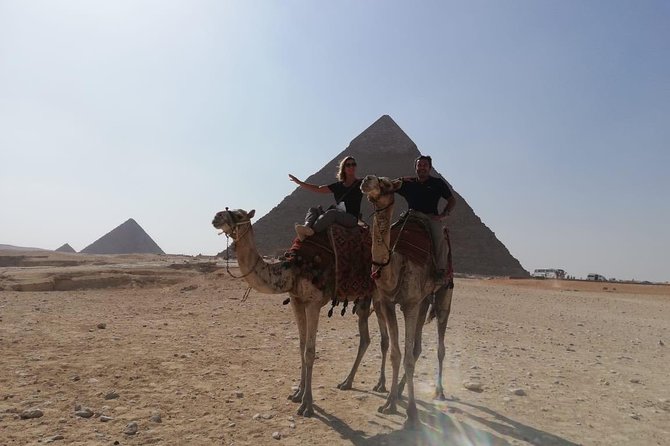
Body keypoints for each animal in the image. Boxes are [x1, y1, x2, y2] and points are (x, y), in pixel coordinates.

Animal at [212, 208, 389, 417]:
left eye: (239, 215)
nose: (216, 217)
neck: (293, 269)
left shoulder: (313, 303)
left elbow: (310, 351)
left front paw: (307, 405)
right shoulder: (296, 301)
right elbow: (301, 346)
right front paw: (297, 393)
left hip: (379, 295)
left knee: (387, 338)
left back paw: (385, 388)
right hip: (364, 298)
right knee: (367, 338)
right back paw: (348, 382)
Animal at [360, 175, 454, 428]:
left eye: (385, 182)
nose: (366, 180)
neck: (394, 263)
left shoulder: (409, 304)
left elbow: (408, 358)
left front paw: (411, 413)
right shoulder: (388, 303)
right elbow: (396, 354)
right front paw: (389, 403)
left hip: (444, 295)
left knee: (440, 346)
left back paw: (439, 392)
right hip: (424, 301)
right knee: (418, 346)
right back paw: (401, 391)